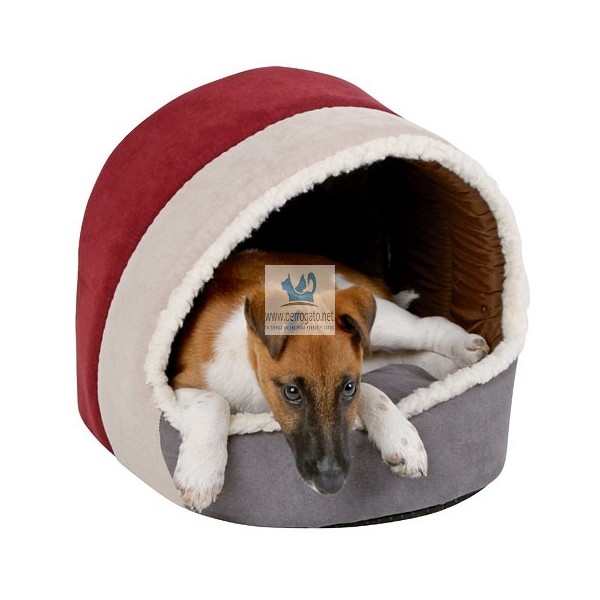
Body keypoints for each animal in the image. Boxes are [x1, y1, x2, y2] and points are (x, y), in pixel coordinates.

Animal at [168, 249, 489, 511]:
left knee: (426, 327)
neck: (252, 371)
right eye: (292, 392)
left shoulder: (356, 372)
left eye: (347, 388)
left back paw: (463, 350)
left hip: (380, 324)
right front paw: (201, 473)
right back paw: (446, 365)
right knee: (408, 353)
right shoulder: (182, 383)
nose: (331, 484)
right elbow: (215, 401)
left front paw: (402, 437)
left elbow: (372, 390)